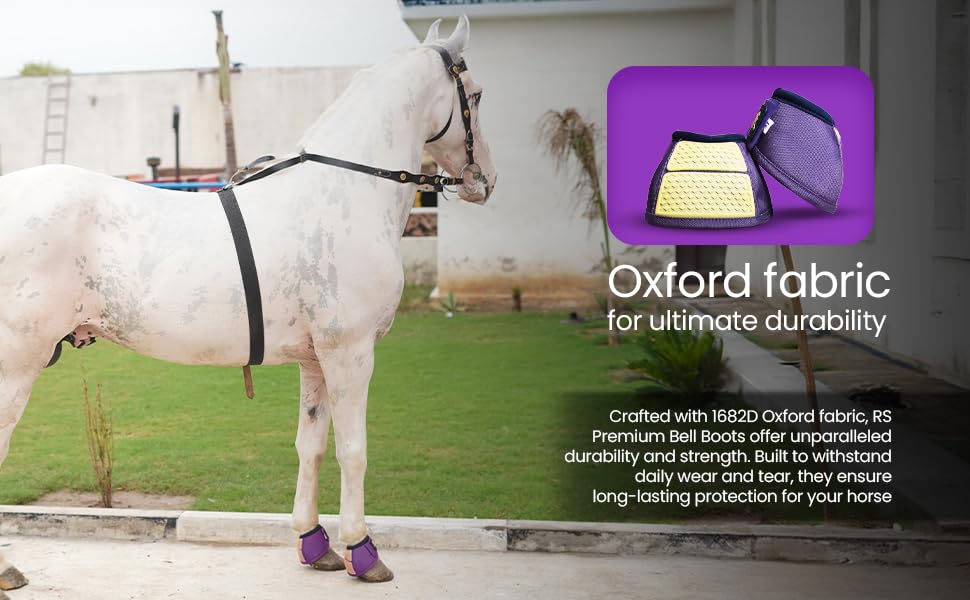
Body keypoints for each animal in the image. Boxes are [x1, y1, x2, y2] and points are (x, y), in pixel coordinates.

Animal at [0, 15, 495, 592]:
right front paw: (361, 549)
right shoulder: (350, 352)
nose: (485, 181)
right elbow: (353, 450)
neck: (341, 190)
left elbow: (311, 446)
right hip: (18, 362)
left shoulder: (316, 360)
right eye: (475, 94)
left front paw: (314, 543)